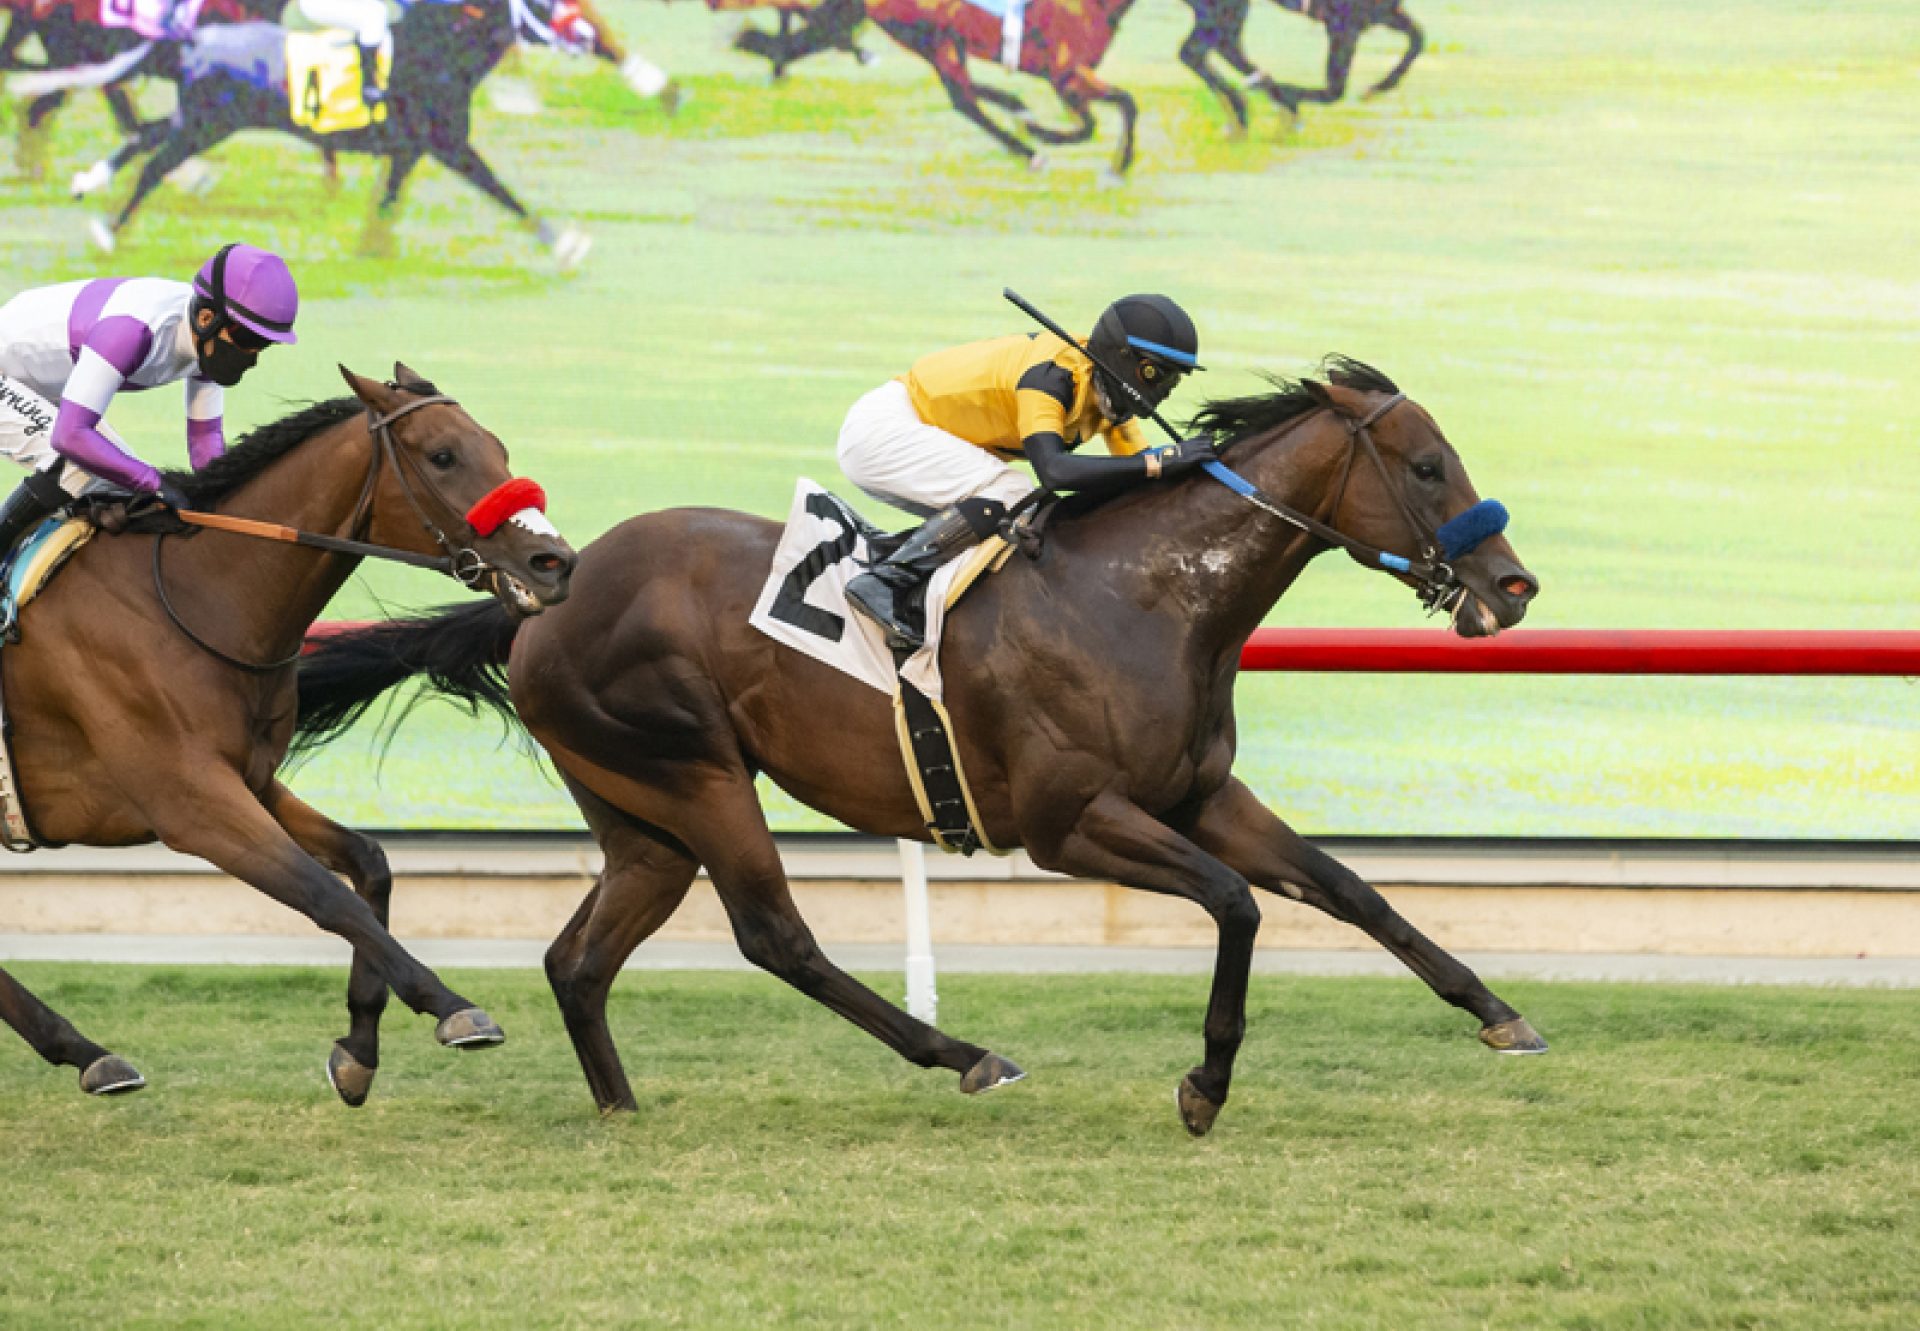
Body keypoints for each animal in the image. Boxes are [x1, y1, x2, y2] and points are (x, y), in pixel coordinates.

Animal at [0, 366, 576, 1098]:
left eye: (498, 448)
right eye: (443, 455)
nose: (554, 561)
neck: (189, 599)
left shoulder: (250, 780)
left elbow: (369, 861)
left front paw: (359, 1045)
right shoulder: (189, 802)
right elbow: (325, 894)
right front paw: (451, 1006)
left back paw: (84, 1051)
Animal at [288, 359, 1543, 1137]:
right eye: (1426, 465)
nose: (1513, 583)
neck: (1142, 597)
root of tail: (539, 598)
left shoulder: (1197, 796)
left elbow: (1349, 888)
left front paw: (1501, 1015)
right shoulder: (1070, 823)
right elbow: (1238, 904)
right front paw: (1205, 1082)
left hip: (644, 815)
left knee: (578, 959)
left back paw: (619, 1106)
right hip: (695, 771)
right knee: (775, 936)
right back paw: (965, 1052)